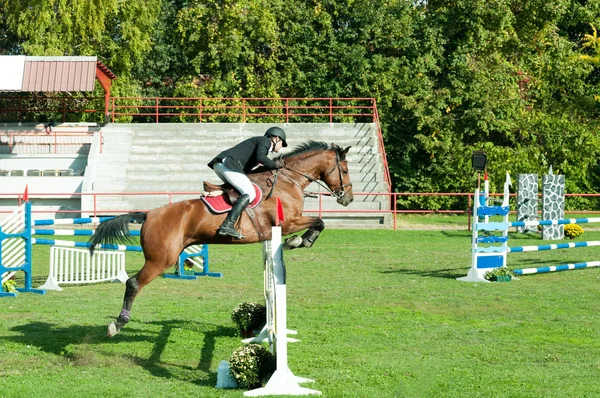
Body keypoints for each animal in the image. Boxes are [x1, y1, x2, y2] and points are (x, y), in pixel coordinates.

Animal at [86, 140, 354, 336]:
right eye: (345, 169)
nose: (348, 198)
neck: (287, 182)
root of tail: (148, 214)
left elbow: (319, 222)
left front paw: (299, 241)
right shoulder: (287, 222)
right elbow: (319, 221)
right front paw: (299, 241)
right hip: (160, 259)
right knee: (133, 283)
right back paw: (117, 324)